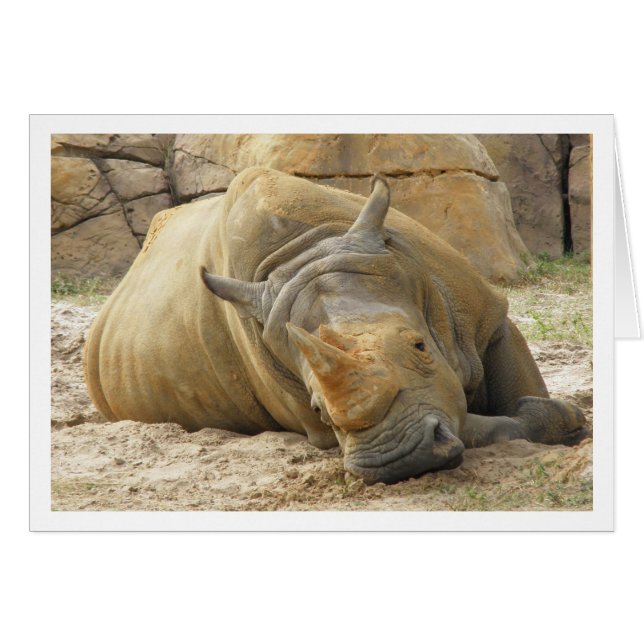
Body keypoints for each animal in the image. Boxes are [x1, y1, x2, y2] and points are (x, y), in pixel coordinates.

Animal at [83, 167, 588, 484]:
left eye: (421, 346)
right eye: (316, 407)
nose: (398, 461)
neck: (306, 250)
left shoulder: (488, 318)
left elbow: (513, 377)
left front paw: (565, 421)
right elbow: (475, 423)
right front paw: (557, 420)